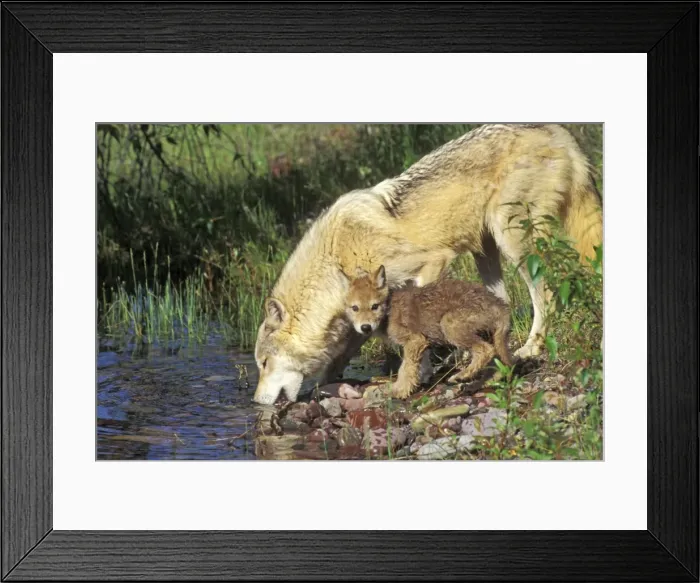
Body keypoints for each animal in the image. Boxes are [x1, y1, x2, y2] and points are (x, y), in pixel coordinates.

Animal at [345, 265, 512, 398]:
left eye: (374, 306)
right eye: (355, 308)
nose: (365, 327)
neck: (388, 309)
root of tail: (500, 305)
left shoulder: (414, 340)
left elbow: (405, 369)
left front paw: (399, 391)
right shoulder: (422, 343)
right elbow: (418, 367)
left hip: (449, 324)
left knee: (485, 350)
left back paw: (461, 376)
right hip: (489, 335)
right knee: (498, 363)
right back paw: (481, 383)